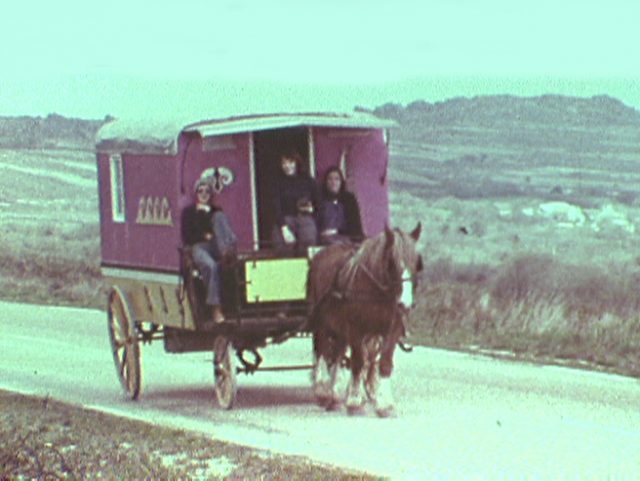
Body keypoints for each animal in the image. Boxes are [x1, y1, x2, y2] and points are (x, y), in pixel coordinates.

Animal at [308, 223, 422, 414]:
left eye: (417, 262)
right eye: (391, 262)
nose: (405, 304)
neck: (378, 292)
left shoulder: (392, 329)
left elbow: (384, 362)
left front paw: (385, 404)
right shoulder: (356, 329)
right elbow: (359, 361)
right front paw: (354, 401)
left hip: (339, 327)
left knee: (337, 354)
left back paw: (334, 393)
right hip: (321, 323)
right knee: (321, 350)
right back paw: (322, 390)